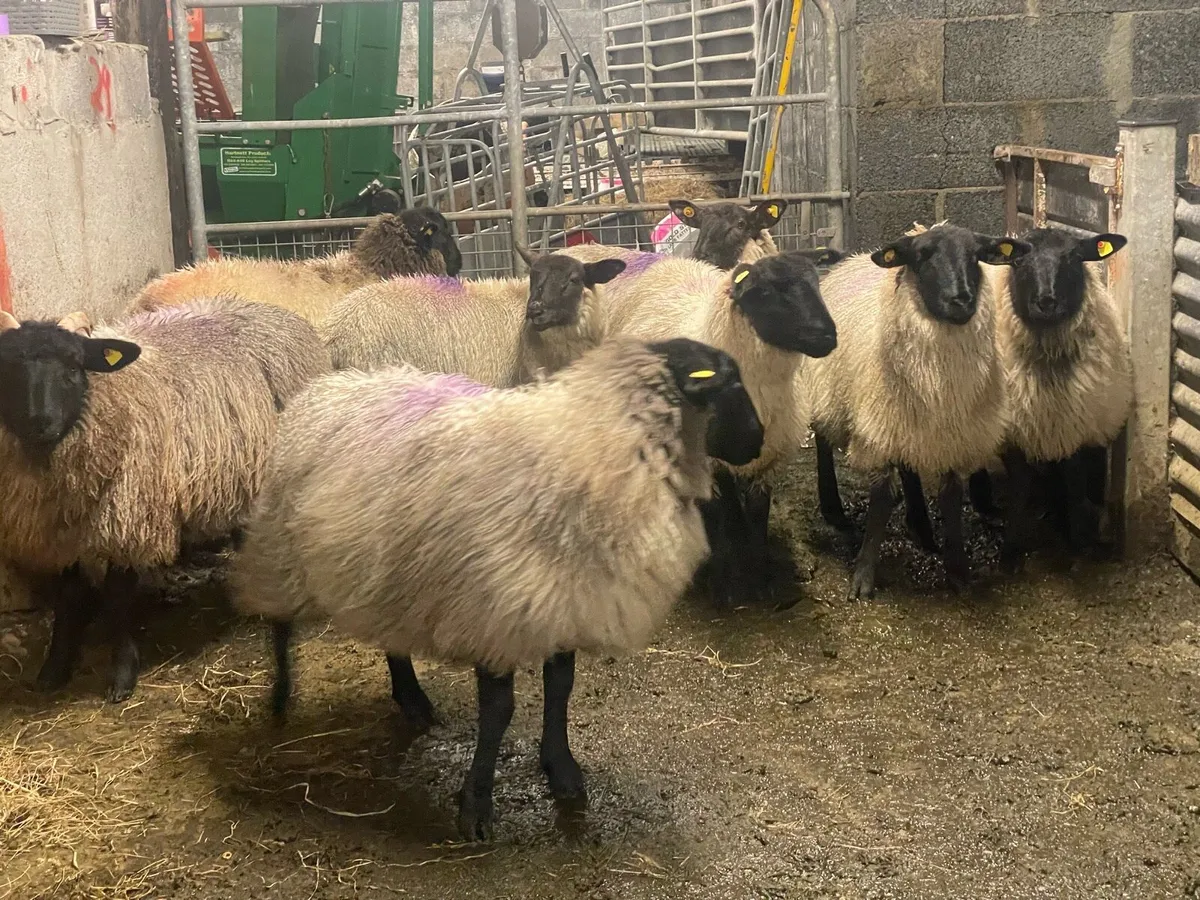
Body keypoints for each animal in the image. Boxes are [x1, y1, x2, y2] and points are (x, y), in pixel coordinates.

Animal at [0, 298, 330, 701]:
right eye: (7, 368)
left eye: (74, 367)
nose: (39, 423)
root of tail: (270, 308)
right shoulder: (56, 529)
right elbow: (67, 598)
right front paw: (54, 668)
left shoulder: (132, 517)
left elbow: (117, 599)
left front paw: (121, 676)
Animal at [231, 335, 765, 840]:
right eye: (731, 382)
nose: (758, 443)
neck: (598, 444)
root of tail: (325, 388)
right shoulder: (493, 609)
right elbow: (498, 713)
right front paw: (476, 806)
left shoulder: (560, 598)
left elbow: (560, 688)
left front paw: (561, 769)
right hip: (281, 548)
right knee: (279, 623)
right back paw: (280, 697)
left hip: (383, 573)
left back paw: (412, 700)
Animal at [559, 245, 837, 606]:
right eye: (766, 291)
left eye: (816, 284)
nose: (826, 336)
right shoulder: (709, 458)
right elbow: (723, 513)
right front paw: (727, 582)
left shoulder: (769, 458)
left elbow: (757, 513)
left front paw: (761, 575)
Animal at [804, 223, 1031, 598]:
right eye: (923, 256)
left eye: (975, 256)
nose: (961, 299)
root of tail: (849, 261)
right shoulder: (878, 423)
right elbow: (881, 498)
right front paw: (863, 577)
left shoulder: (954, 432)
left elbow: (950, 496)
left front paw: (958, 570)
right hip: (829, 390)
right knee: (823, 441)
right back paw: (834, 510)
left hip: (907, 419)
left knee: (909, 467)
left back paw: (921, 527)